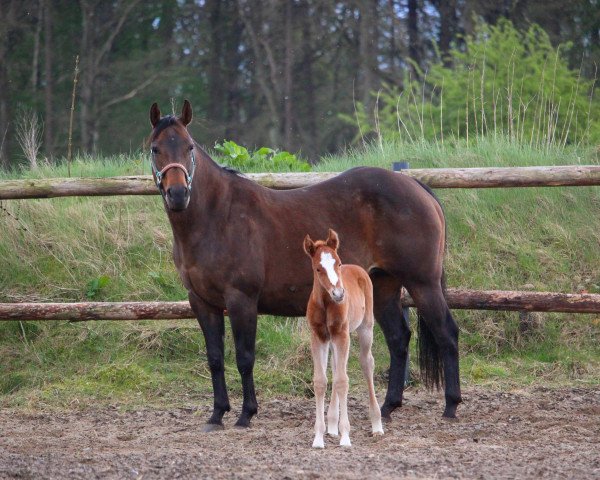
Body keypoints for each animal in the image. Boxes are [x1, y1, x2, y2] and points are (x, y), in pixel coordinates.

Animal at [302, 231, 382, 448]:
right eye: (318, 268)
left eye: (338, 263)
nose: (338, 294)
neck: (326, 304)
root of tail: (358, 268)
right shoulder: (319, 336)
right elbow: (321, 381)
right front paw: (318, 437)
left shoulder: (342, 334)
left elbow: (342, 381)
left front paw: (346, 437)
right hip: (332, 340)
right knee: (336, 365)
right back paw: (331, 425)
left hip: (365, 328)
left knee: (367, 363)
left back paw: (377, 425)